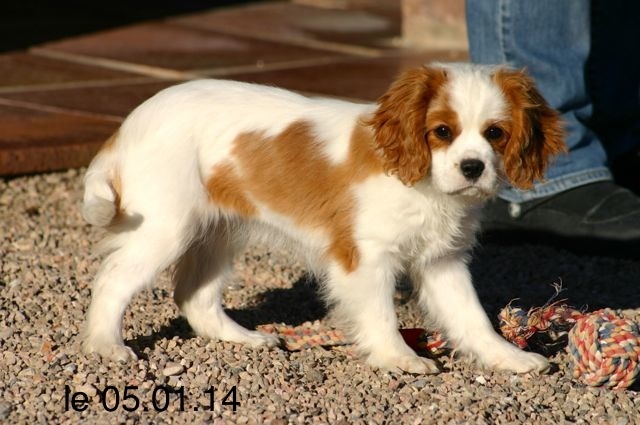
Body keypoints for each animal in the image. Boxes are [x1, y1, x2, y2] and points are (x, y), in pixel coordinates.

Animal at [81, 63, 564, 372]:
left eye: (495, 134)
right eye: (442, 132)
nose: (472, 168)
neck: (423, 185)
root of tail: (128, 124)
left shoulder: (442, 263)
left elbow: (473, 317)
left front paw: (508, 357)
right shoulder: (365, 258)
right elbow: (381, 313)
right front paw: (399, 358)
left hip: (218, 232)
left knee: (194, 296)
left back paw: (245, 338)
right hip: (165, 228)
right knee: (112, 280)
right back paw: (106, 345)